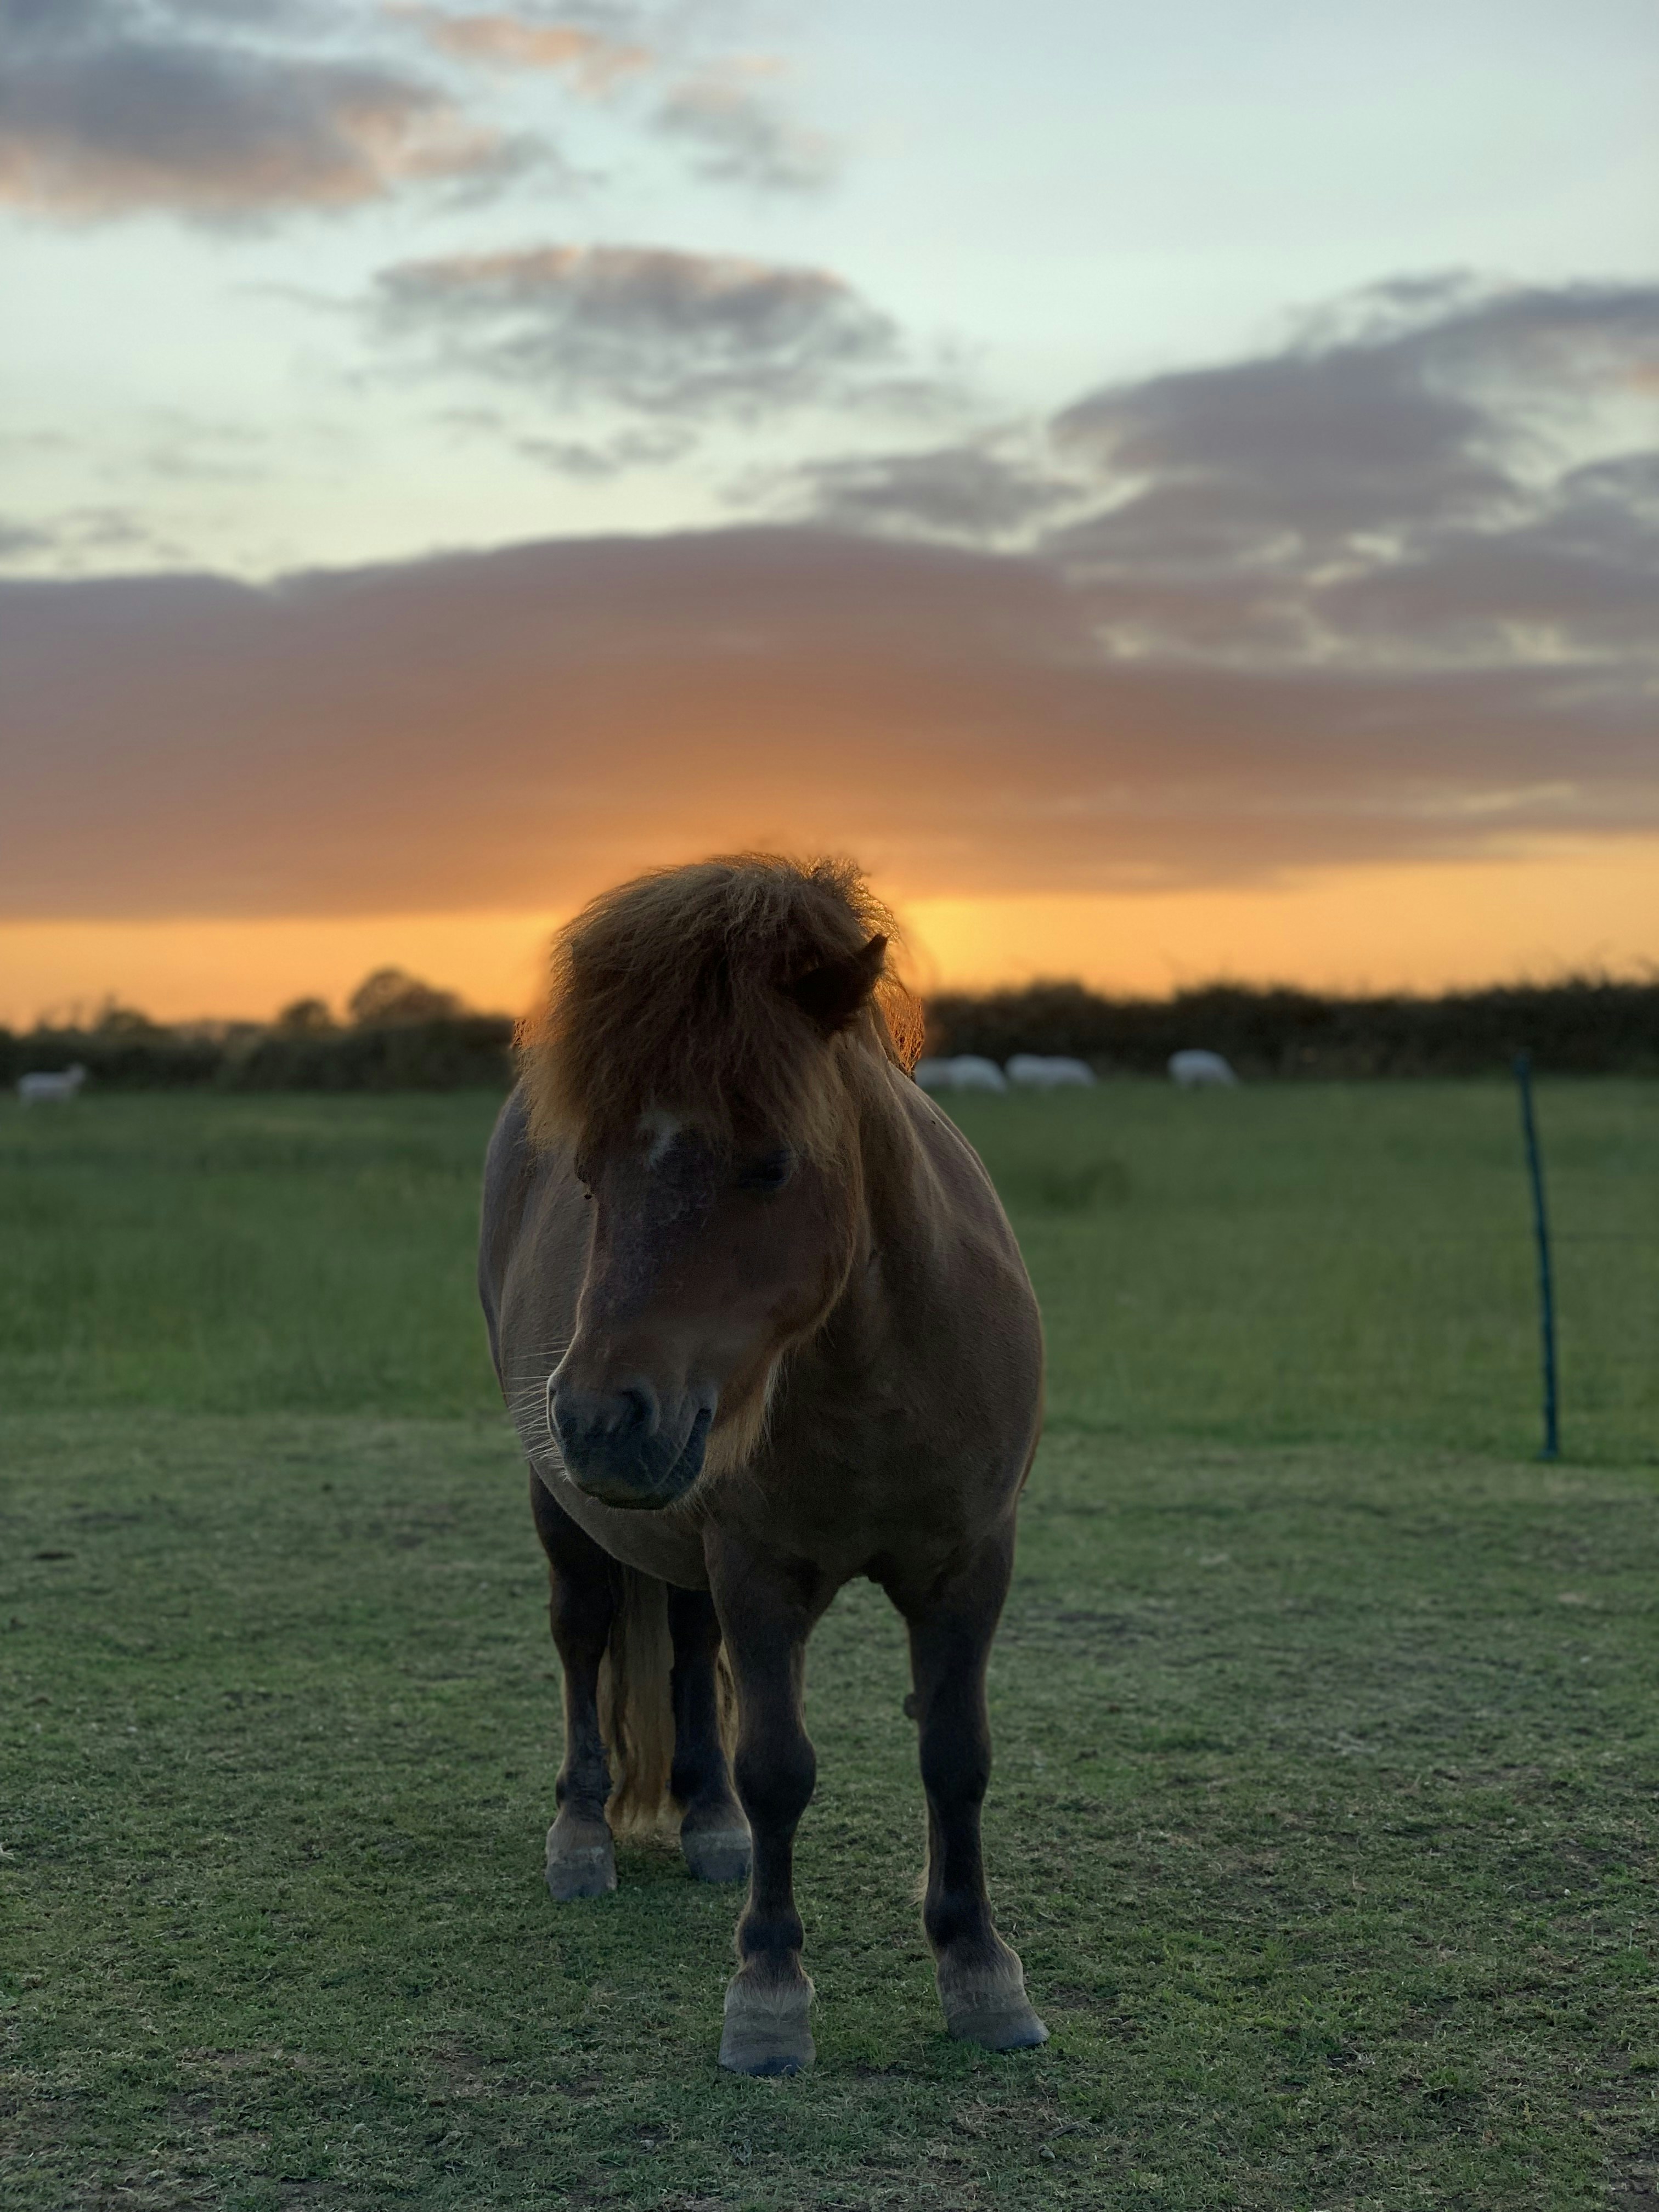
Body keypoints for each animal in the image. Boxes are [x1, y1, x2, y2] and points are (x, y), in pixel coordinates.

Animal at [478, 855, 1047, 2076]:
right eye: (589, 1175)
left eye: (772, 1165)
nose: (600, 1419)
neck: (873, 1370)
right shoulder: (760, 1575)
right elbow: (780, 1766)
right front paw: (770, 1994)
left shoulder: (969, 1567)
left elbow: (957, 1756)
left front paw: (980, 1970)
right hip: (566, 1515)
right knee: (581, 1638)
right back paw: (582, 1836)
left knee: (689, 1650)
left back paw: (706, 1822)